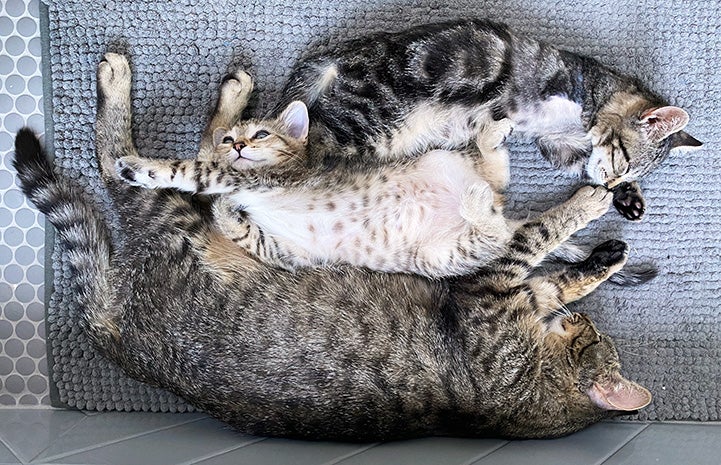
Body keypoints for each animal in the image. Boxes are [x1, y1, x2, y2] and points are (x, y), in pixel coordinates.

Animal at [12, 52, 652, 440]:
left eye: (591, 334)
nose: (245, 144)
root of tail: (115, 334)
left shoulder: (492, 291)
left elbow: (548, 260)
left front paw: (599, 238)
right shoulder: (496, 294)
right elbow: (552, 269)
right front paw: (603, 249)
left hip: (183, 224)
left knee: (126, 165)